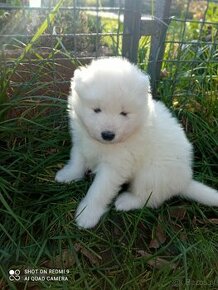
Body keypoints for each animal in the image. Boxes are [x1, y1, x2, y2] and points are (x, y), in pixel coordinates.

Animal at [55, 56, 218, 229]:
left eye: (124, 113)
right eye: (97, 109)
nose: (108, 135)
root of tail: (185, 182)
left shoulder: (115, 167)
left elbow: (99, 190)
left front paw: (87, 214)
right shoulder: (80, 142)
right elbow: (77, 162)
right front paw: (67, 175)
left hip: (151, 175)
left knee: (148, 199)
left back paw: (126, 201)